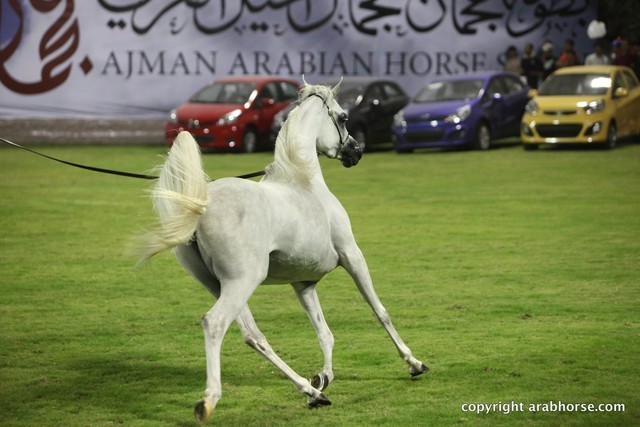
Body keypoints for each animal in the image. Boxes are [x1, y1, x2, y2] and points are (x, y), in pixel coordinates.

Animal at [137, 80, 428, 422]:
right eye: (343, 117)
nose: (355, 152)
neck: (303, 181)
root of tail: (201, 205)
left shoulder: (303, 283)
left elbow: (324, 332)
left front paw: (323, 377)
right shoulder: (352, 256)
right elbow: (380, 311)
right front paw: (414, 364)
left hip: (220, 286)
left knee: (254, 336)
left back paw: (313, 393)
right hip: (242, 281)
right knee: (215, 324)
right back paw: (208, 401)